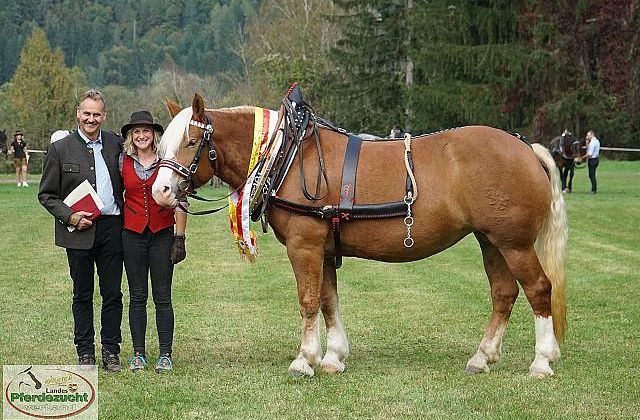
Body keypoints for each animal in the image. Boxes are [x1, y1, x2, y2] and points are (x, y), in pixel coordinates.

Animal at [152, 93, 568, 378]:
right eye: (164, 143)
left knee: (538, 290)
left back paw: (542, 361)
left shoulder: (304, 246)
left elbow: (308, 301)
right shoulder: (322, 248)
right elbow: (328, 301)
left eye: (192, 142)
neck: (287, 155)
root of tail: (525, 148)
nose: (160, 191)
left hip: (514, 243)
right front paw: (333, 356)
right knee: (504, 294)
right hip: (490, 241)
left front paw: (304, 359)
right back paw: (483, 357)